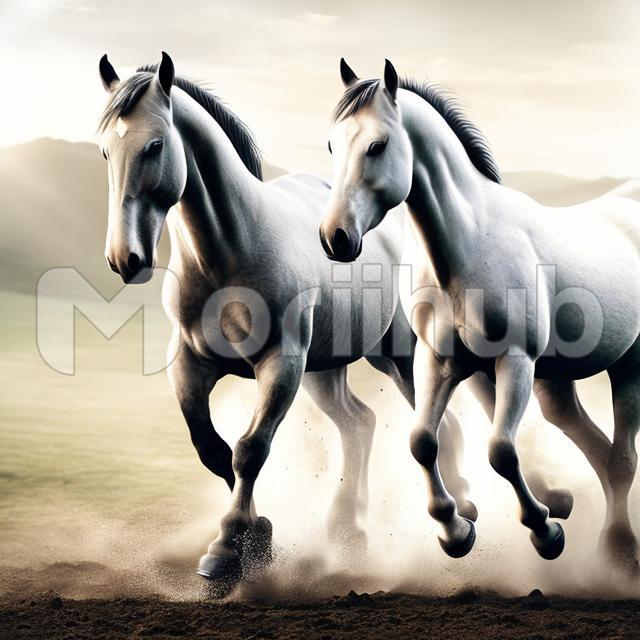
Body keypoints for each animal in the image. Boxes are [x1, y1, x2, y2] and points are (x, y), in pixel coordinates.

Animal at [96, 52, 481, 594]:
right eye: (106, 151)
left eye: (154, 145)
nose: (124, 259)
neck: (228, 257)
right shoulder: (189, 364)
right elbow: (213, 451)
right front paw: (258, 536)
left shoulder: (281, 364)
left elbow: (248, 450)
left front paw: (227, 551)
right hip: (325, 370)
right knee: (359, 423)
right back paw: (348, 531)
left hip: (398, 357)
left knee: (438, 422)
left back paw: (461, 509)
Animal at [319, 58, 640, 572]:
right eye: (333, 144)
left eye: (377, 145)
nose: (335, 237)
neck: (468, 246)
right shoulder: (437, 361)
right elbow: (422, 442)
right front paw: (455, 532)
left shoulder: (515, 362)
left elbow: (502, 452)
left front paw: (546, 534)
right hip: (556, 383)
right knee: (599, 449)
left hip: (628, 365)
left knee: (622, 458)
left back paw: (617, 548)